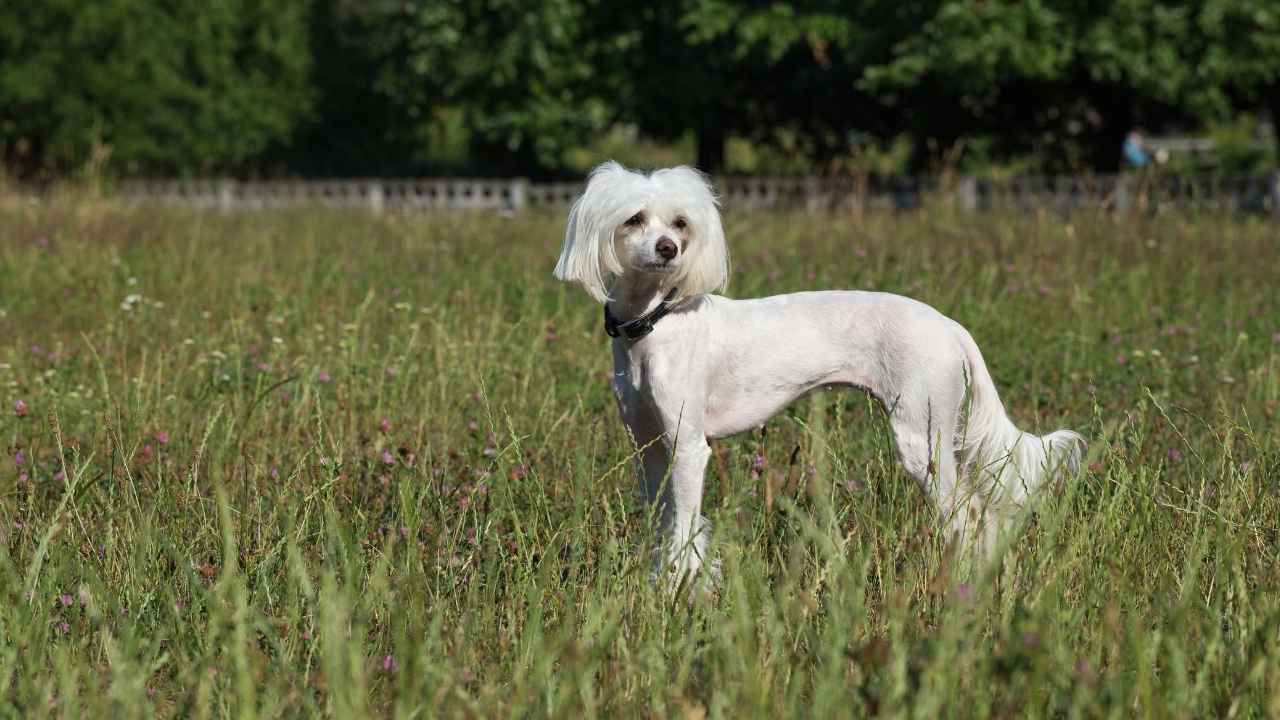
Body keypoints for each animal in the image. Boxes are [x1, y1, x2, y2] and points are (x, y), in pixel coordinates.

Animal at [555, 159, 1085, 579]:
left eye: (680, 223)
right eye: (634, 219)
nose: (669, 249)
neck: (655, 323)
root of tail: (951, 326)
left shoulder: (687, 447)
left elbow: (686, 532)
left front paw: (682, 594)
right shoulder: (648, 446)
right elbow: (665, 527)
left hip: (923, 439)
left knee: (968, 517)